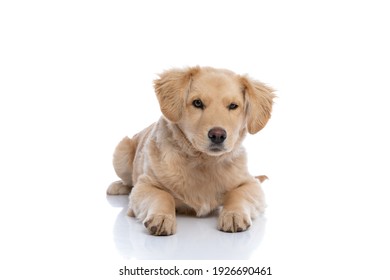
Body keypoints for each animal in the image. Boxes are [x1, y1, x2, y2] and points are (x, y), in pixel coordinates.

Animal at [106, 66, 274, 235]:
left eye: (233, 106)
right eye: (197, 103)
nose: (218, 135)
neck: (203, 161)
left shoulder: (250, 183)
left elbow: (239, 193)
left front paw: (233, 214)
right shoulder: (145, 184)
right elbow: (162, 195)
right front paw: (162, 217)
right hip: (122, 151)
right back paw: (118, 186)